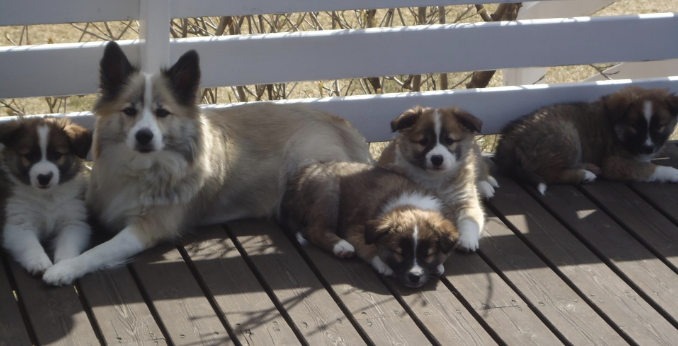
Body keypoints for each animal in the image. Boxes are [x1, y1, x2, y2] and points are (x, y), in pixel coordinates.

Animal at [0, 117, 93, 278]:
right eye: (29, 155)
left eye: (57, 154)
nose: (44, 178)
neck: (47, 196)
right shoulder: (18, 225)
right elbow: (30, 245)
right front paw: (39, 262)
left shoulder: (73, 223)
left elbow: (67, 244)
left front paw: (64, 265)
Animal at [39, 41, 372, 286]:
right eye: (129, 111)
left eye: (163, 113)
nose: (145, 136)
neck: (142, 170)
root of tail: (339, 121)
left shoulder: (148, 228)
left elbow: (100, 250)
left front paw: (66, 269)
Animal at [278, 162, 460, 290]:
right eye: (399, 253)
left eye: (428, 254)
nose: (414, 277)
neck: (414, 205)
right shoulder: (355, 230)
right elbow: (367, 247)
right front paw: (382, 264)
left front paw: (438, 265)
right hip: (328, 191)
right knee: (316, 230)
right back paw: (342, 247)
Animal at [378, 105, 494, 251]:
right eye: (423, 141)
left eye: (449, 141)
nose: (437, 159)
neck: (435, 177)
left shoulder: (465, 199)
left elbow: (470, 219)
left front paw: (467, 239)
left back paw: (485, 186)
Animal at [494, 86, 678, 195]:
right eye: (635, 126)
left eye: (659, 126)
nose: (648, 148)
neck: (617, 130)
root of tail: (509, 137)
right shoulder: (614, 164)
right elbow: (648, 168)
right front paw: (673, 173)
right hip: (567, 134)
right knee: (549, 173)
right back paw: (584, 175)